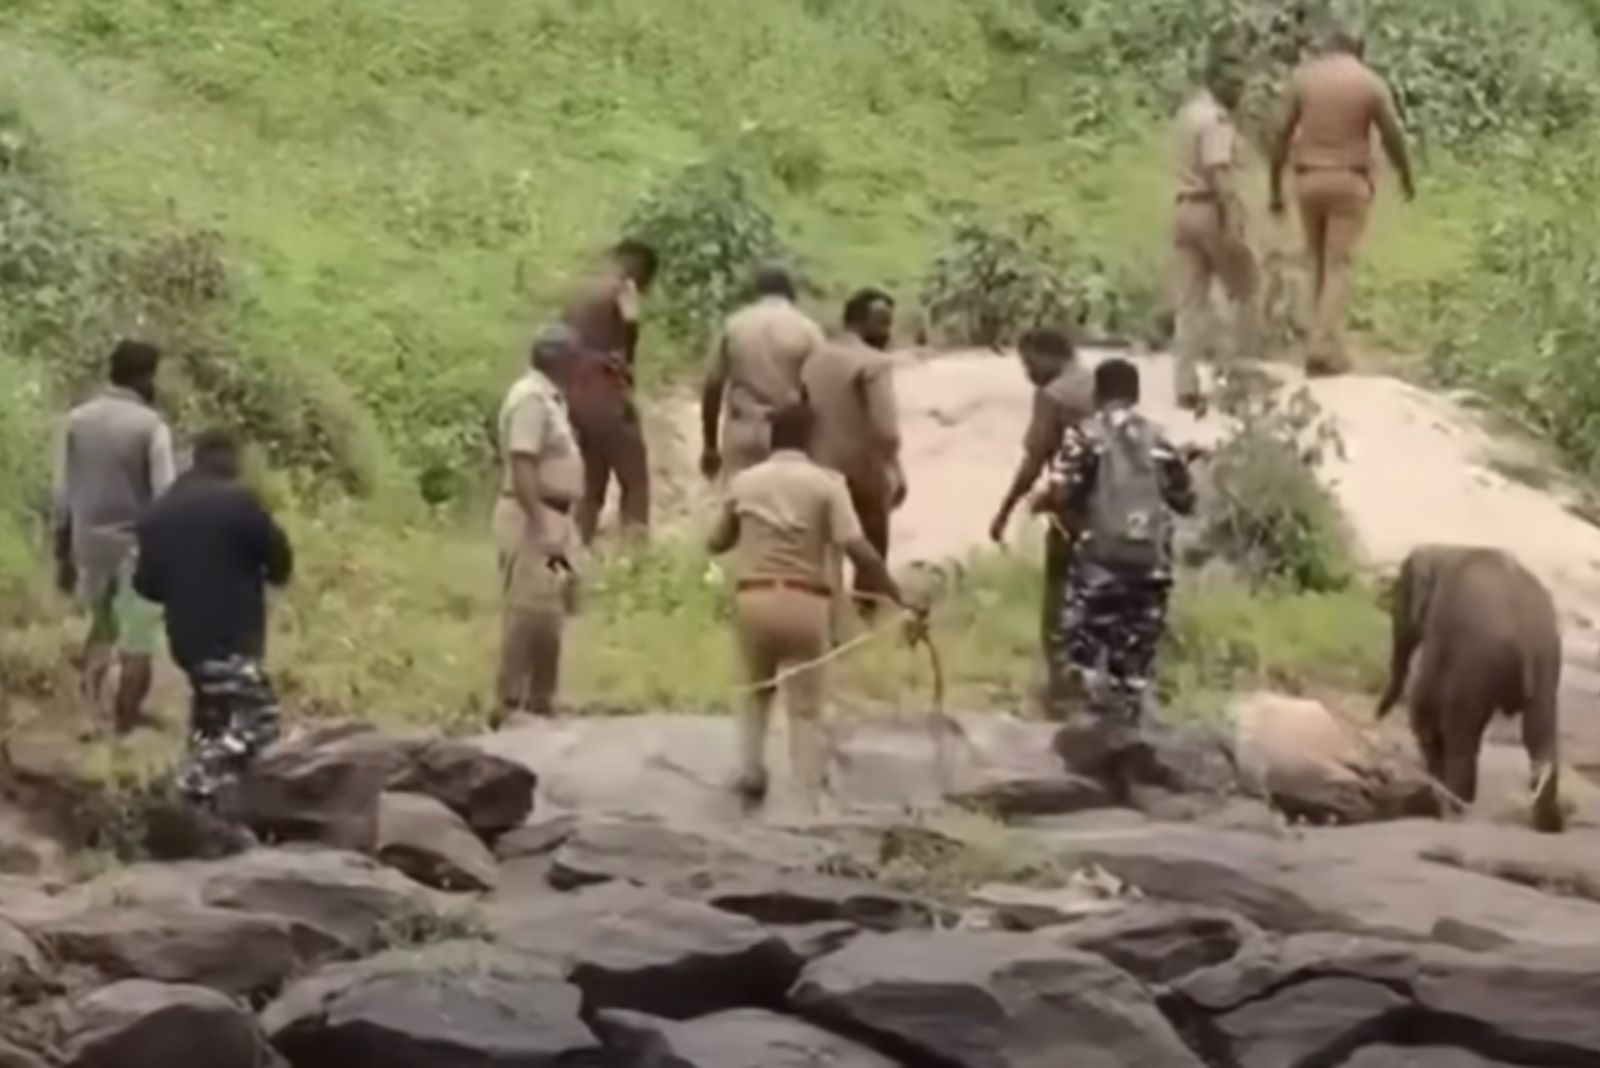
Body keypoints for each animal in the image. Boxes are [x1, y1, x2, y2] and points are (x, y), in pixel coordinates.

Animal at [1376, 543, 1561, 831]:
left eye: (1398, 600)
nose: (1375, 716)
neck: (1446, 549)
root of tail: (1527, 636)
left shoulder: (1442, 625)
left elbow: (1425, 703)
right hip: (1547, 663)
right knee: (1540, 735)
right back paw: (1547, 824)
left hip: (1478, 661)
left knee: (1461, 732)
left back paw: (1455, 807)